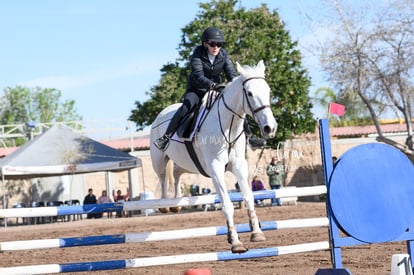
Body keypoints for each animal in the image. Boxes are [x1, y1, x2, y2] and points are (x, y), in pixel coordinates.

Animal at [150, 61, 278, 254]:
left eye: (268, 90)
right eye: (249, 93)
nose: (270, 128)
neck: (228, 126)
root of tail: (162, 113)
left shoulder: (239, 166)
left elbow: (249, 197)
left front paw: (256, 232)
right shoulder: (216, 168)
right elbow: (227, 204)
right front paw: (236, 242)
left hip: (188, 164)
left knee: (177, 172)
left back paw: (176, 204)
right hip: (158, 158)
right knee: (163, 176)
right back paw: (165, 205)